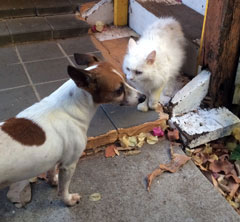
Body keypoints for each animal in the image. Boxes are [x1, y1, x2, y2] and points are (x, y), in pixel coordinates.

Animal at [0, 53, 146, 206]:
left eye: (125, 78)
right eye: (118, 90)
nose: (143, 97)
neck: (68, 107)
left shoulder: (54, 158)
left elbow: (51, 172)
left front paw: (53, 181)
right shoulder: (68, 165)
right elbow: (64, 189)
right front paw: (68, 200)